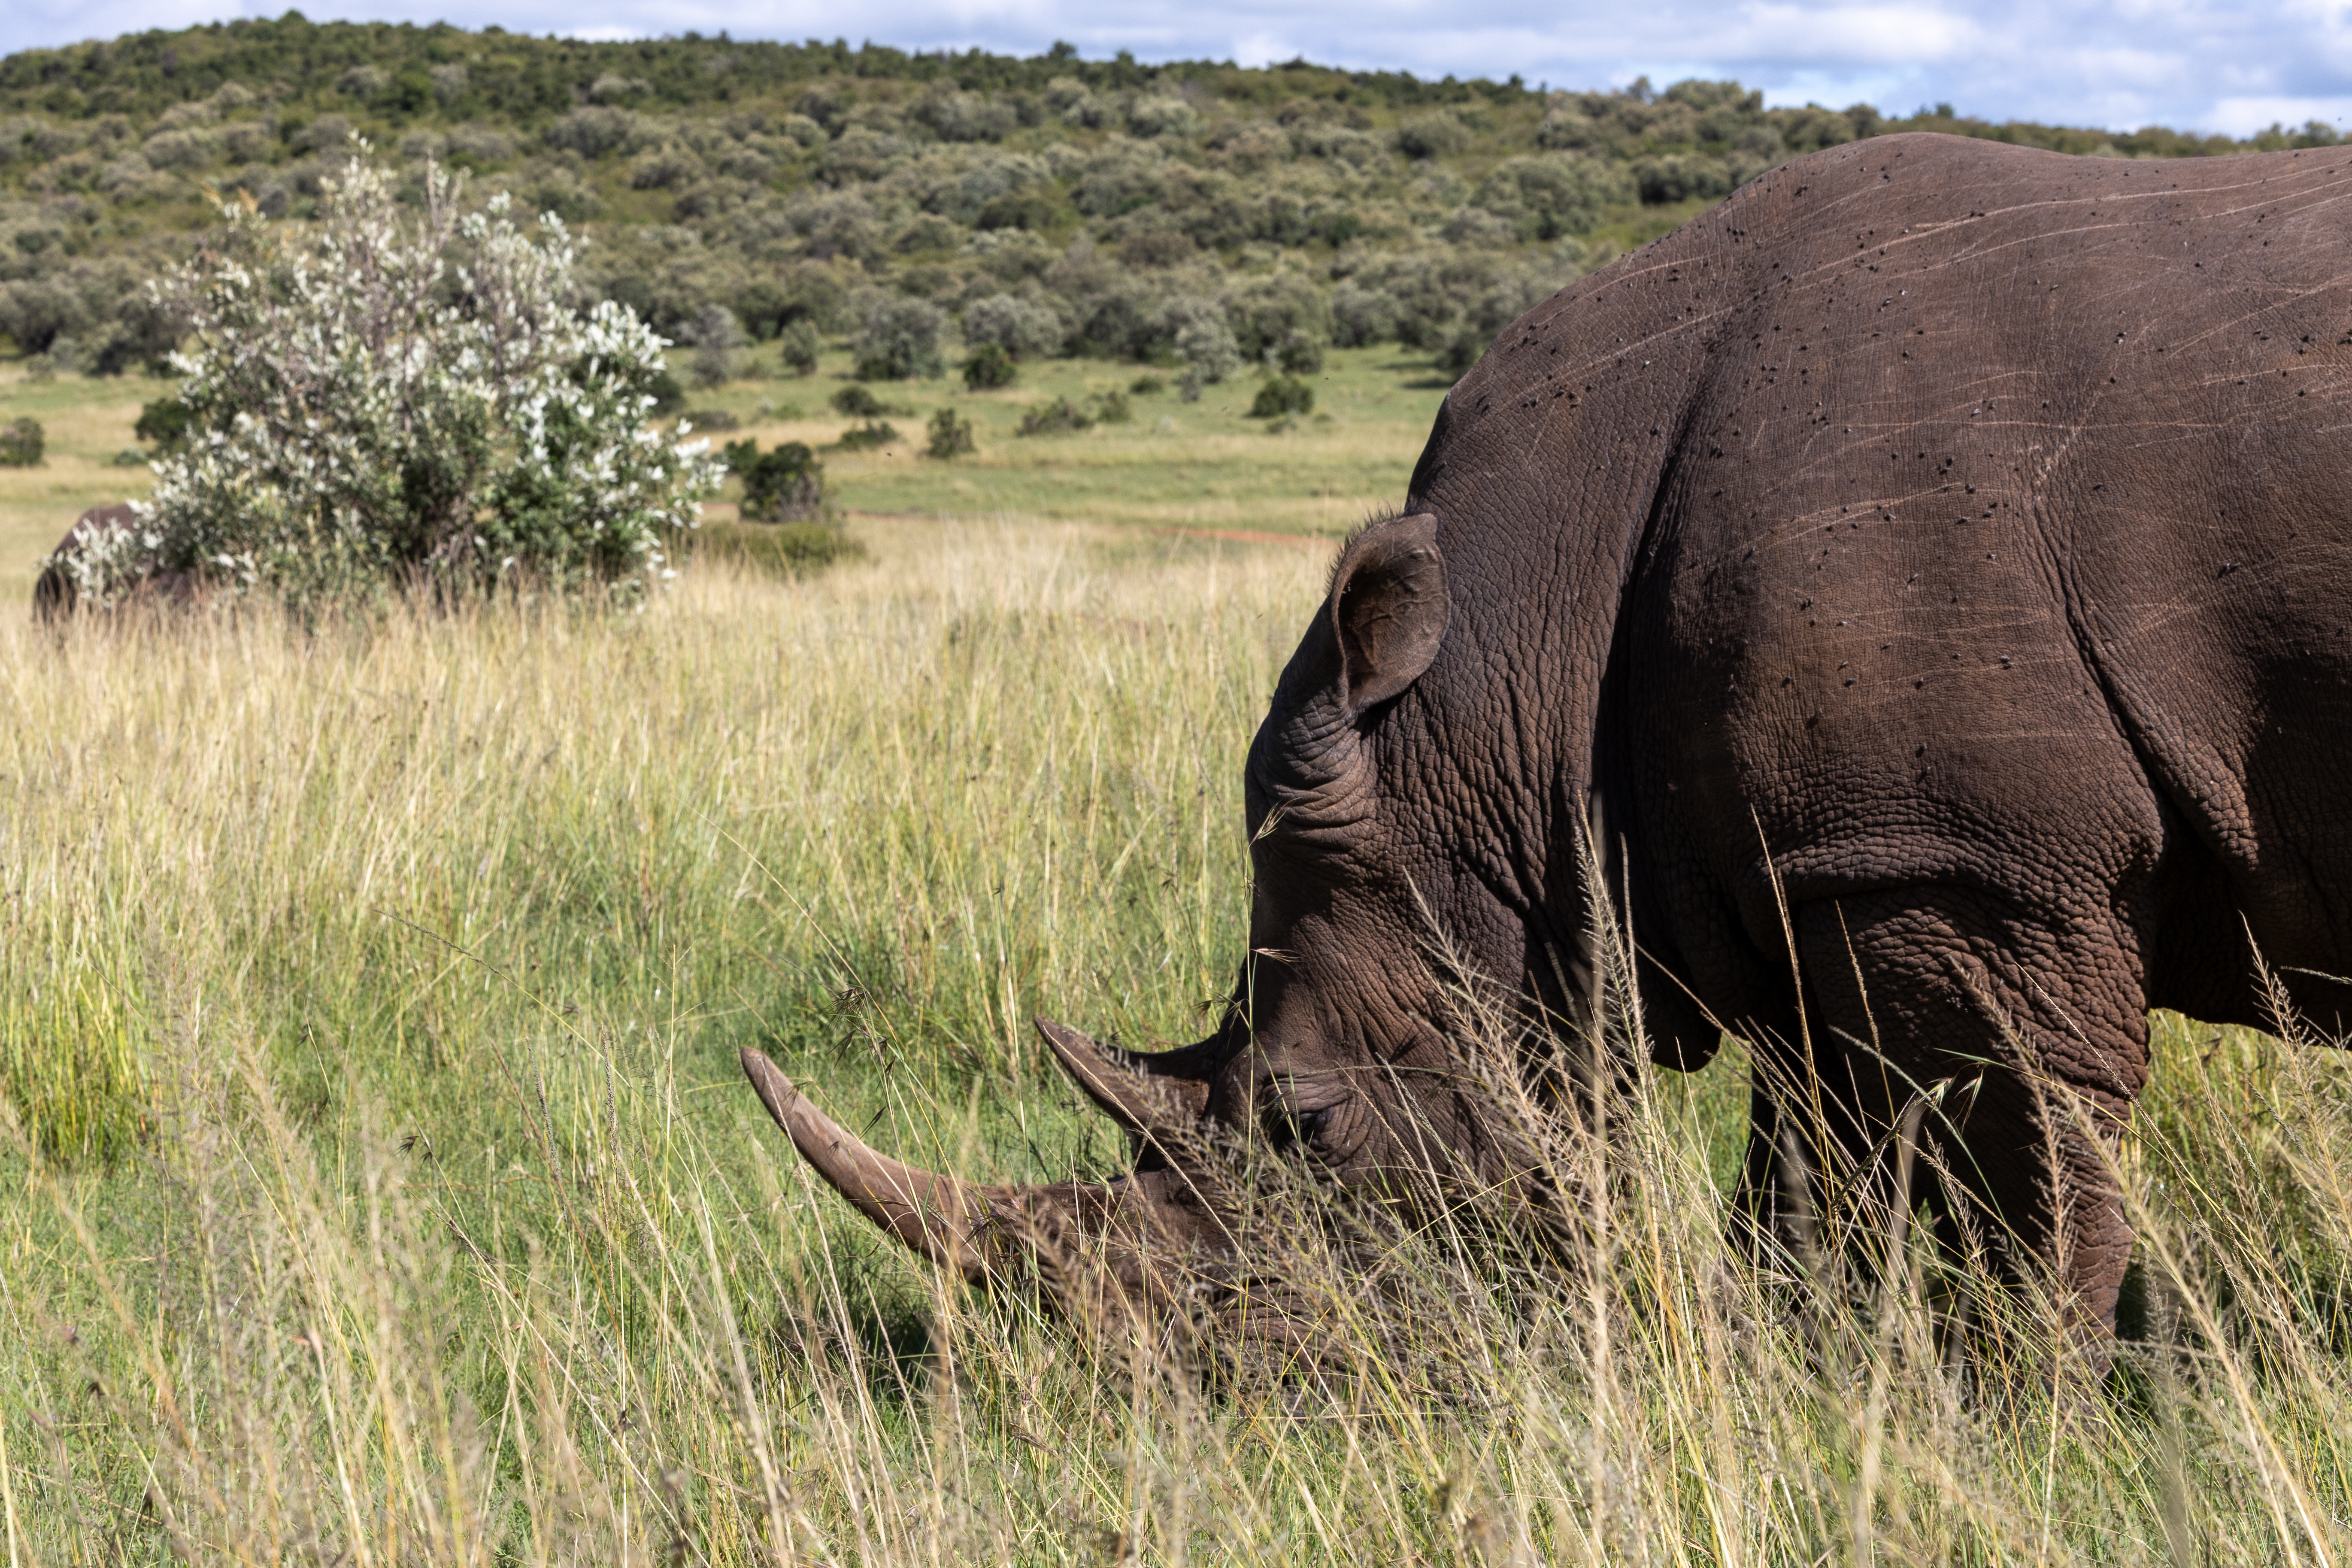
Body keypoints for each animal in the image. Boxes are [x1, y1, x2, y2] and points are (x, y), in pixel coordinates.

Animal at [742, 134, 2352, 1334]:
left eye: (1305, 1122)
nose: (1171, 1376)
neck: (1511, 677)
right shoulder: (1800, 872)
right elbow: (1810, 1190)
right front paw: (1821, 1394)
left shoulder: (1948, 862)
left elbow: (2021, 1203)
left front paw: (2019, 1426)